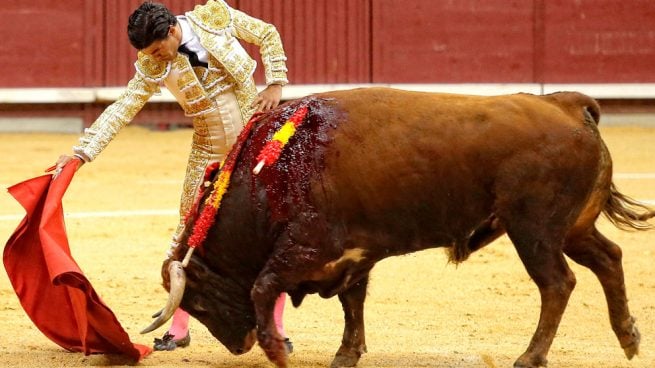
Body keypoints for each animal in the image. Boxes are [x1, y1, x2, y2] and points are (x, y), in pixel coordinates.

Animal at [141, 88, 652, 368]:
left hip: (535, 230)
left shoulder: (307, 246)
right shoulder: (353, 255)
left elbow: (264, 286)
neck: (276, 169)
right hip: (573, 228)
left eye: (198, 301)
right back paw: (628, 338)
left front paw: (278, 352)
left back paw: (531, 355)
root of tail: (566, 105)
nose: (237, 345)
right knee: (609, 259)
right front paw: (346, 354)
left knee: (558, 283)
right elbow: (353, 304)